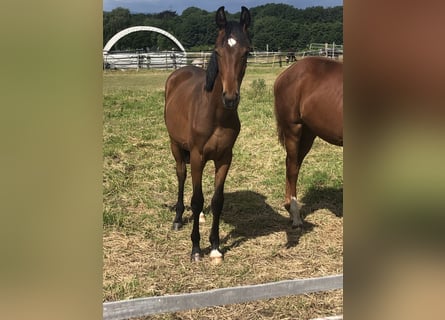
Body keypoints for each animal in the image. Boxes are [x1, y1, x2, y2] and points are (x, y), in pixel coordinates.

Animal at [165, 6, 251, 262]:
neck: (215, 115)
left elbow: (216, 200)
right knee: (181, 176)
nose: (230, 98)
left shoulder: (224, 158)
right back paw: (178, 219)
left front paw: (214, 246)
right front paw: (195, 248)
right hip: (176, 146)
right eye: (218, 52)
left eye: (246, 53)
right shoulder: (197, 156)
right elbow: (197, 199)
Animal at [272, 56, 342, 229]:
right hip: (293, 129)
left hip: (308, 134)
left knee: (293, 164)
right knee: (292, 168)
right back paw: (295, 216)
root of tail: (284, 75)